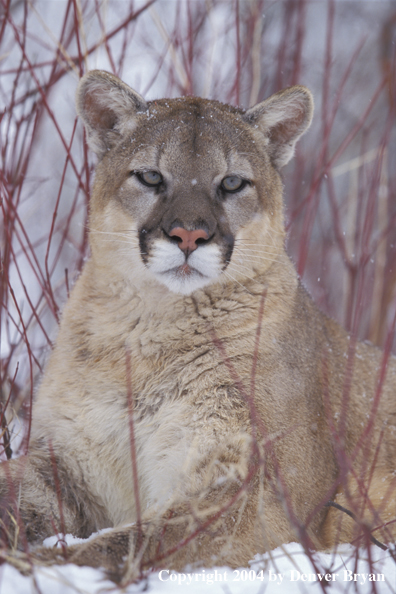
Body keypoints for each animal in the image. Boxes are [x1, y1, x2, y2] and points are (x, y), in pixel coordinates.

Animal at [0, 69, 396, 580]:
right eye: (150, 176)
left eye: (232, 183)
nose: (189, 234)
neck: (148, 331)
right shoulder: (70, 462)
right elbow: (14, 489)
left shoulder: (254, 489)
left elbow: (142, 541)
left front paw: (45, 566)